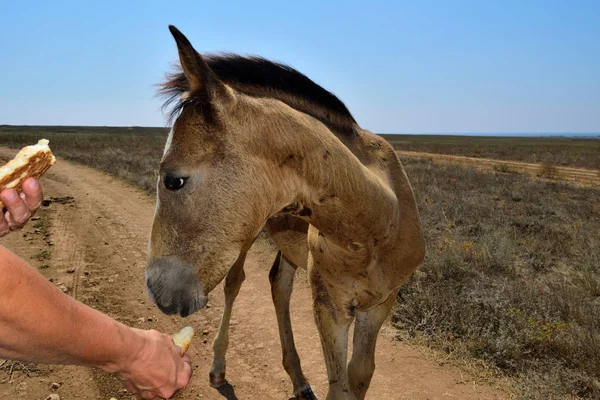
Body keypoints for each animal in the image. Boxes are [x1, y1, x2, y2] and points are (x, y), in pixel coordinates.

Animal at [147, 25, 424, 400]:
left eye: (174, 180)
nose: (155, 288)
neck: (375, 226)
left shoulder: (380, 304)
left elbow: (360, 376)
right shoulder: (330, 308)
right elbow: (340, 387)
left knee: (279, 285)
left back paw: (298, 379)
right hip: (248, 236)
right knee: (236, 283)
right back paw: (220, 368)